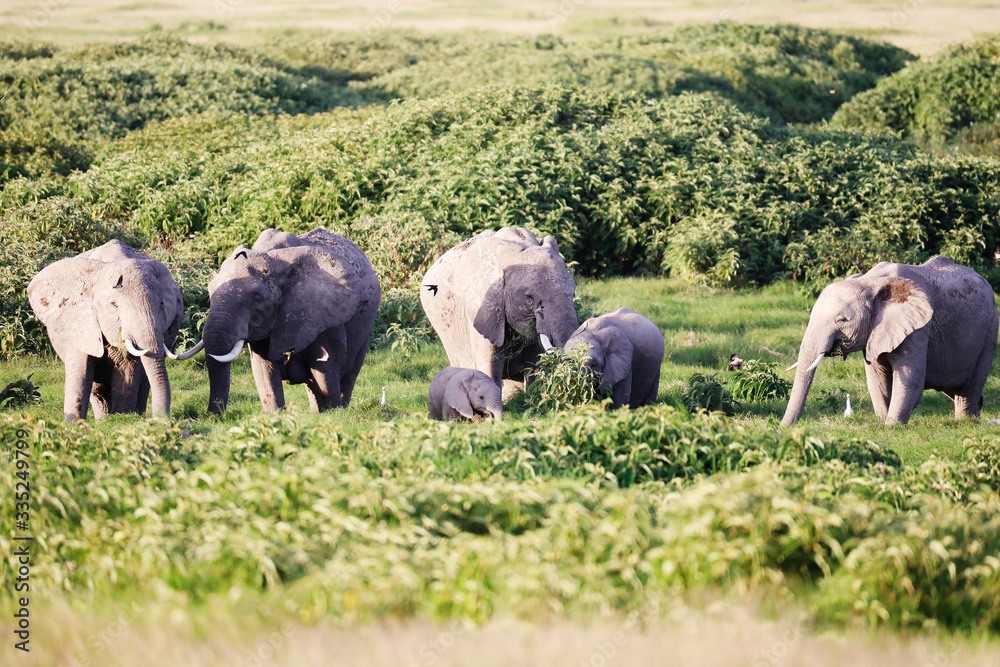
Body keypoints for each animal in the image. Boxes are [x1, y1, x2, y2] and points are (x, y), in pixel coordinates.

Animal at [27, 240, 192, 421]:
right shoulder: (79, 322)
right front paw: (73, 424)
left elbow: (128, 371)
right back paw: (103, 420)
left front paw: (122, 418)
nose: (162, 421)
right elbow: (81, 370)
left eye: (162, 304)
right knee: (97, 389)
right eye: (115, 306)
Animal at [198, 228, 381, 415]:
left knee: (349, 373)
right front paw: (276, 415)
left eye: (256, 298)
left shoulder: (324, 313)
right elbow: (264, 371)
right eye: (210, 292)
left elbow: (326, 365)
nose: (213, 417)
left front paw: (332, 413)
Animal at [781, 256, 998, 426]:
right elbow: (877, 381)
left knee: (973, 384)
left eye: (842, 320)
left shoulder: (919, 328)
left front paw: (891, 427)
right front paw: (884, 423)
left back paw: (966, 421)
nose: (782, 429)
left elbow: (911, 380)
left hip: (990, 331)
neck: (870, 281)